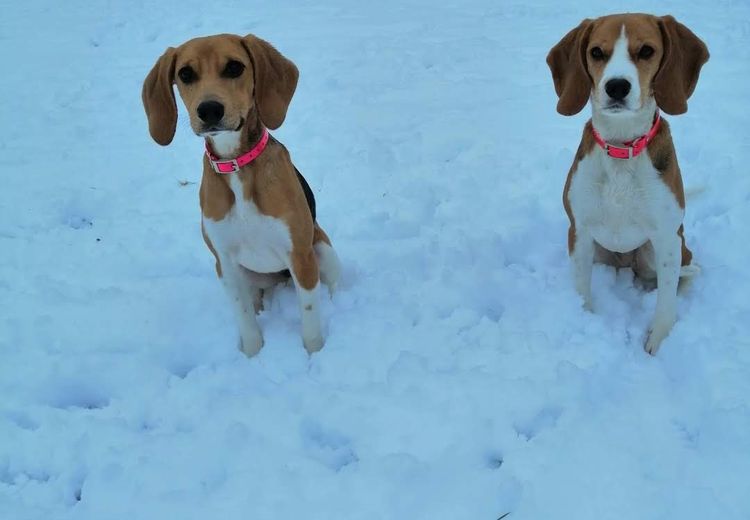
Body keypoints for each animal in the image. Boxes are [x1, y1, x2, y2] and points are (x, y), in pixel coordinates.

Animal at [142, 33, 340, 358]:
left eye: (235, 67)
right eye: (185, 74)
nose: (209, 109)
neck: (236, 164)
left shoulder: (300, 257)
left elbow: (310, 317)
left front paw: (314, 355)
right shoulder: (225, 264)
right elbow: (245, 317)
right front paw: (253, 354)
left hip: (321, 248)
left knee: (333, 284)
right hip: (250, 275)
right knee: (255, 300)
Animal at [548, 14, 712, 354]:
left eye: (647, 50)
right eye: (597, 52)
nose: (616, 86)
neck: (621, 147)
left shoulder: (666, 239)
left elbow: (666, 302)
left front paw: (658, 341)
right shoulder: (579, 232)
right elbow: (582, 290)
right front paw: (585, 325)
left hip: (662, 250)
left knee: (687, 272)